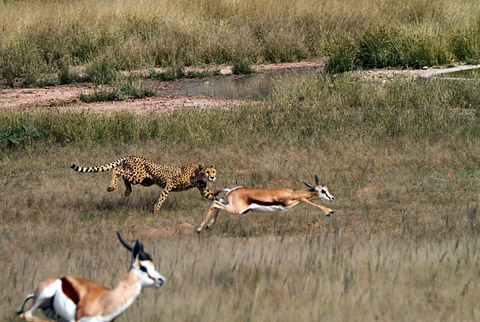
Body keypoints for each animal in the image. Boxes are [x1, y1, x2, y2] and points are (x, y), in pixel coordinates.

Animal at [69, 156, 218, 211]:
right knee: (117, 170)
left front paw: (221, 200)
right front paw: (156, 209)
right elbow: (162, 197)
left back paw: (127, 191)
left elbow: (212, 196)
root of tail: (130, 155)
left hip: (144, 181)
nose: (212, 177)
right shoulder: (169, 184)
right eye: (207, 172)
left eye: (214, 171)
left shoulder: (203, 190)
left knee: (124, 177)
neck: (197, 174)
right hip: (138, 176)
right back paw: (112, 187)